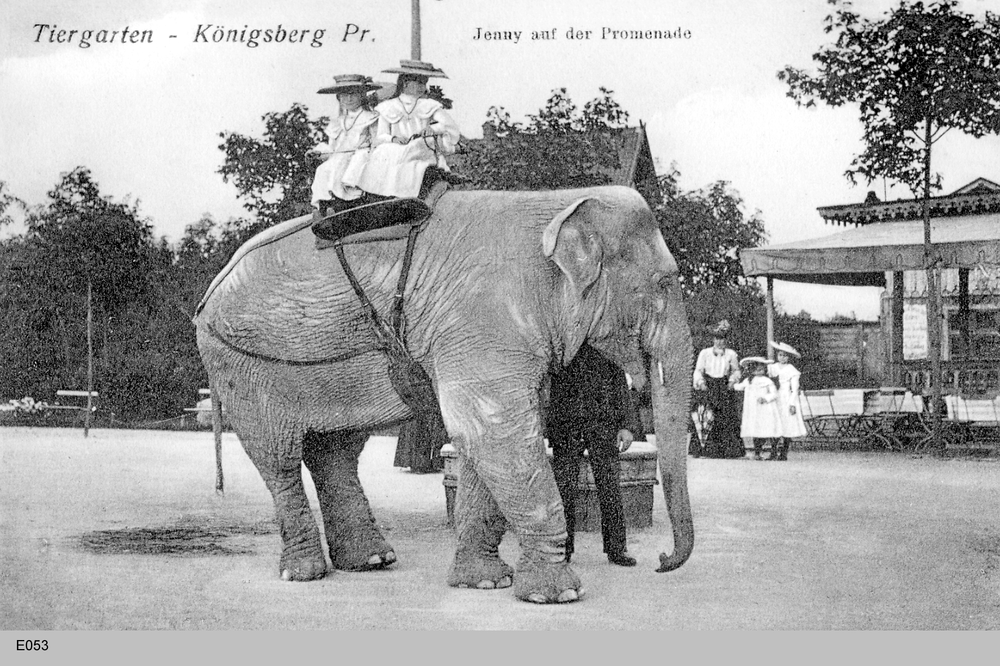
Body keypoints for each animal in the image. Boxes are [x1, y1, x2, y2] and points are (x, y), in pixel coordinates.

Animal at [195, 183, 696, 600]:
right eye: (664, 283)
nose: (661, 561)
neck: (560, 204)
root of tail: (207, 293)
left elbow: (484, 438)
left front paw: (486, 583)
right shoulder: (484, 322)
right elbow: (494, 433)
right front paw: (557, 595)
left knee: (335, 451)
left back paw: (372, 561)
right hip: (244, 362)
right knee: (279, 458)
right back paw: (306, 574)